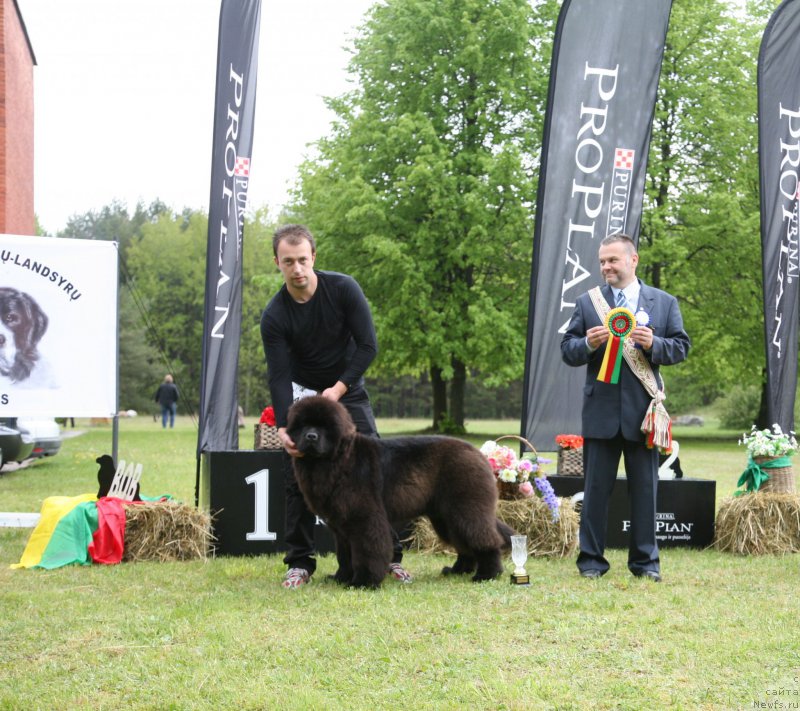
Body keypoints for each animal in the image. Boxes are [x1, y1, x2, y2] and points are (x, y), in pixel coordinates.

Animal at [286, 394, 512, 588]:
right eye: (303, 425)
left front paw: (363, 582)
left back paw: (487, 574)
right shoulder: (341, 524)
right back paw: (457, 570)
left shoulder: (363, 518)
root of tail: (477, 453)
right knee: (463, 542)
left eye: (324, 426)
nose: (311, 436)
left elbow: (367, 550)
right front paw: (340, 578)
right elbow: (344, 554)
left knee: (485, 539)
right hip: (446, 516)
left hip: (465, 508)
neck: (336, 460)